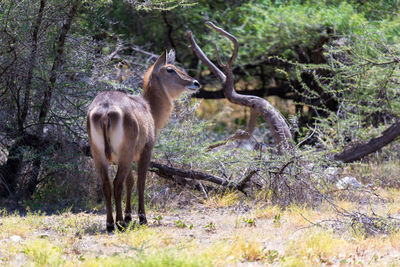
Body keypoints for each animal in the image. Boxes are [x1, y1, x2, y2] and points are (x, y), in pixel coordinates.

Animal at [87, 50, 200, 232]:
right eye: (170, 69)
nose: (196, 83)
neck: (149, 108)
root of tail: (105, 110)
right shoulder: (146, 151)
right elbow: (140, 182)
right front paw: (141, 218)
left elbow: (130, 181)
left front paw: (128, 215)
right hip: (124, 153)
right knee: (117, 183)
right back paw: (119, 223)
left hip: (99, 154)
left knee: (107, 184)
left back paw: (110, 223)